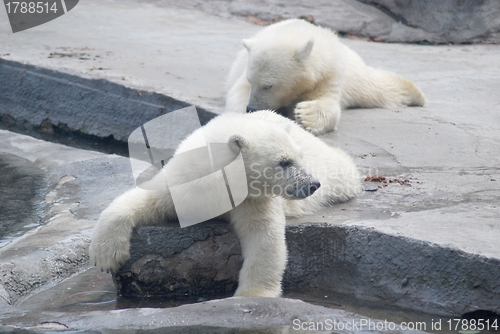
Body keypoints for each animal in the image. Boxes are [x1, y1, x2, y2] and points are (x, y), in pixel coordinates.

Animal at [90, 110, 362, 298]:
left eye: (298, 159)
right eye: (284, 162)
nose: (312, 184)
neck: (214, 184)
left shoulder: (252, 199)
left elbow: (264, 236)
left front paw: (251, 295)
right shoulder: (182, 184)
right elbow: (146, 198)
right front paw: (106, 256)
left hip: (328, 165)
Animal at [227, 18, 426, 134]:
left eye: (269, 85)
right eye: (251, 80)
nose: (251, 108)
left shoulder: (327, 75)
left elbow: (327, 103)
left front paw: (305, 114)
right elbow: (237, 93)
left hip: (353, 76)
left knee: (374, 88)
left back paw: (416, 94)